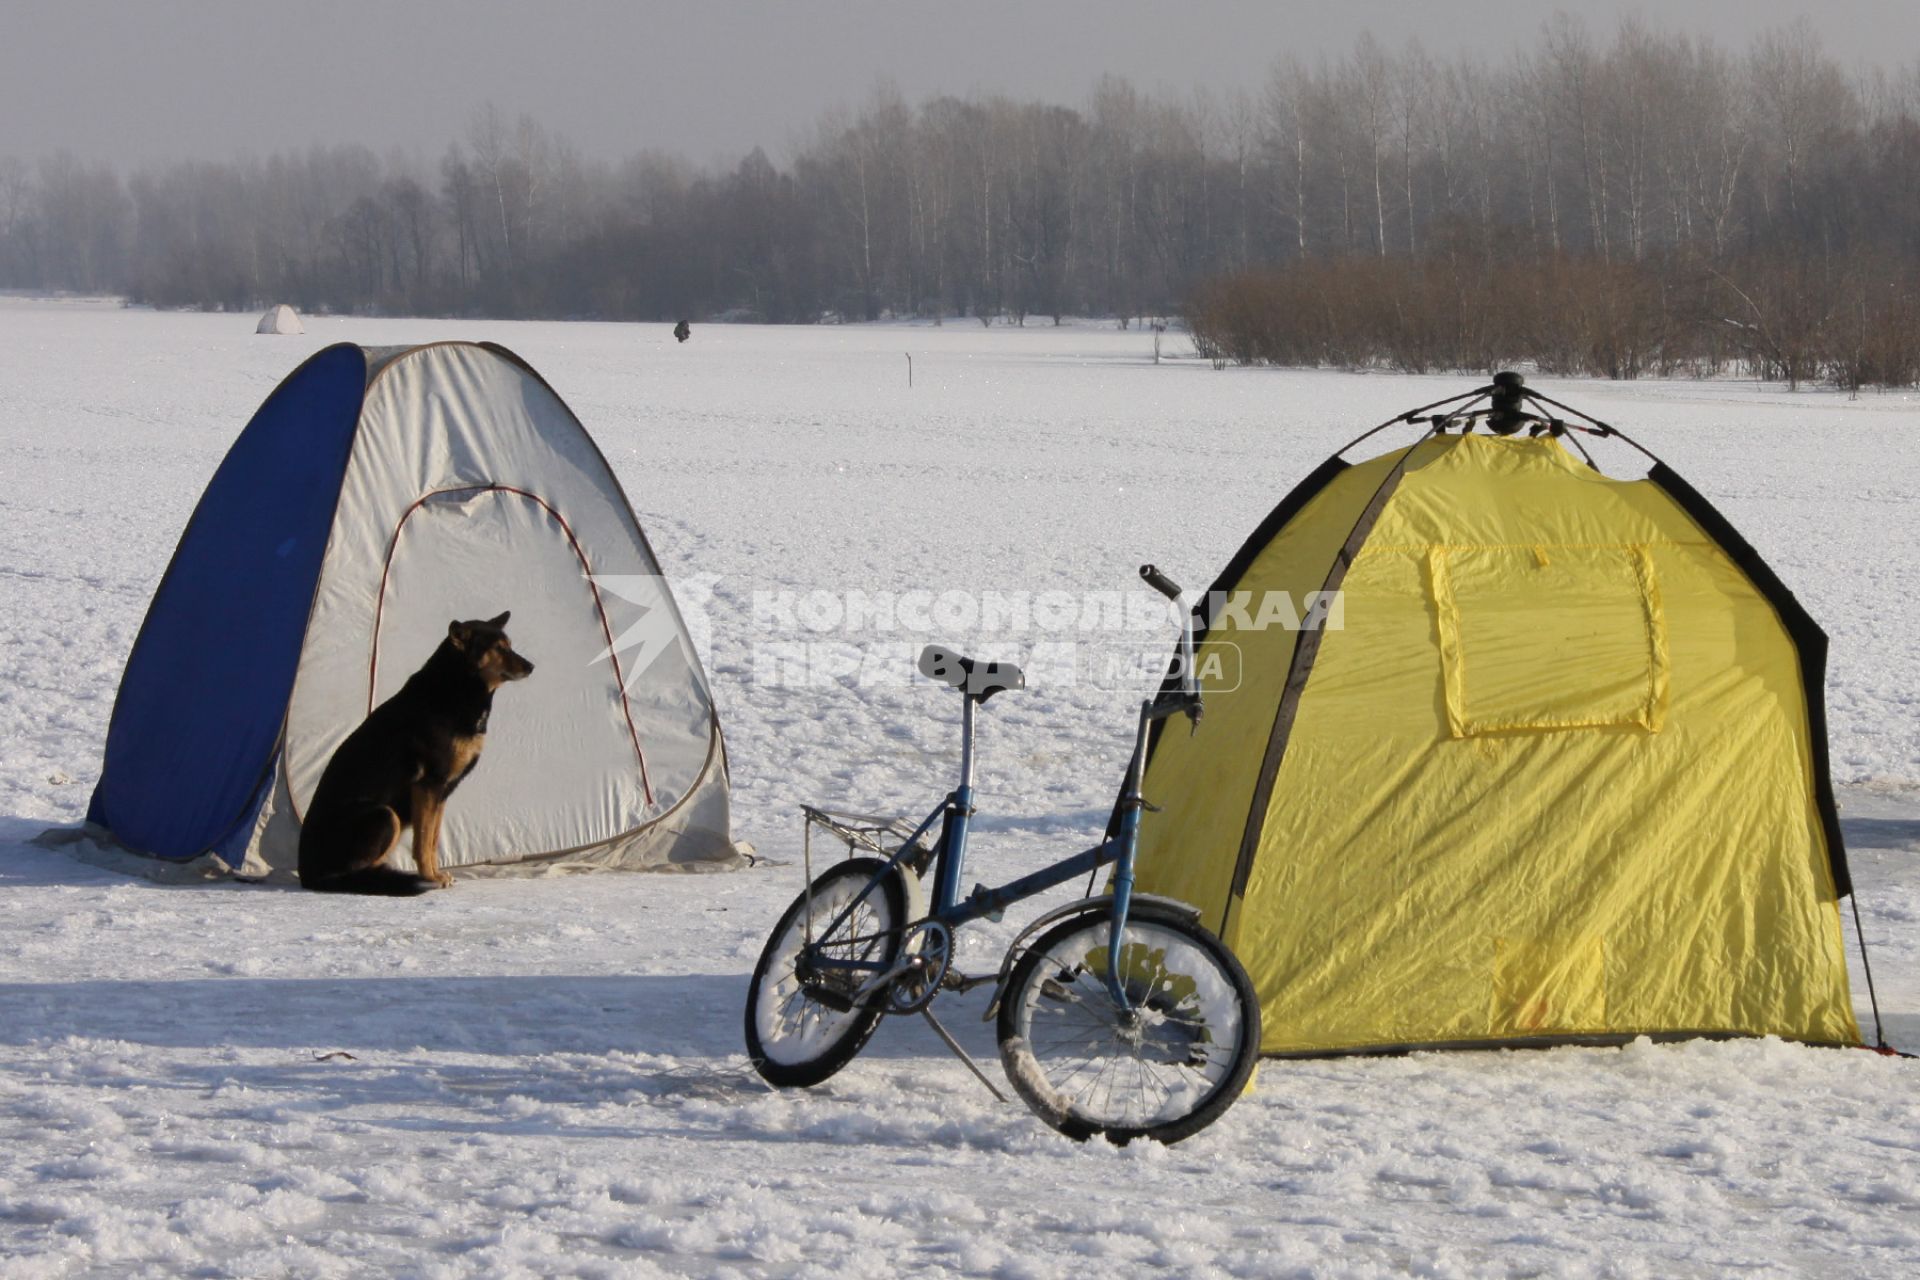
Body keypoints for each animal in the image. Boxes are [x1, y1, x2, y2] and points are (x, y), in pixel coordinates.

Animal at [303, 614, 537, 898]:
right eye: (499, 648)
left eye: (509, 645)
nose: (531, 667)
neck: (457, 687)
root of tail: (307, 874)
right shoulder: (429, 785)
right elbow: (424, 841)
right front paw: (431, 878)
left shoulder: (442, 791)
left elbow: (432, 840)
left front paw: (437, 875)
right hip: (384, 814)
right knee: (353, 873)